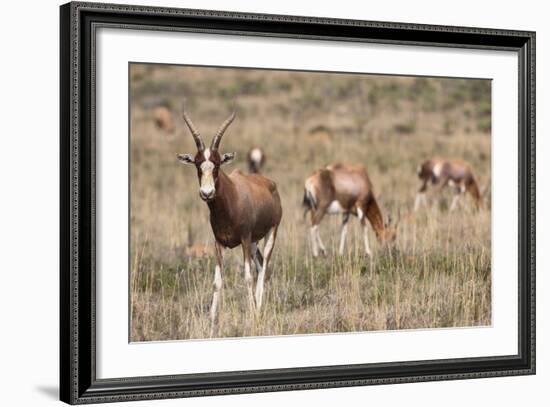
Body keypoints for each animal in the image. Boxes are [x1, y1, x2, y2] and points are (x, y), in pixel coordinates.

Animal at [177, 106, 282, 326]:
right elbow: (217, 282)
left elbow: (247, 277)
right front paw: (211, 320)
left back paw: (258, 309)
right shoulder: (219, 243)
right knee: (260, 265)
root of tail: (269, 183)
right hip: (254, 242)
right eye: (197, 164)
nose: (207, 193)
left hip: (269, 233)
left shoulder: (244, 239)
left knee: (264, 268)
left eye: (217, 164)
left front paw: (252, 316)